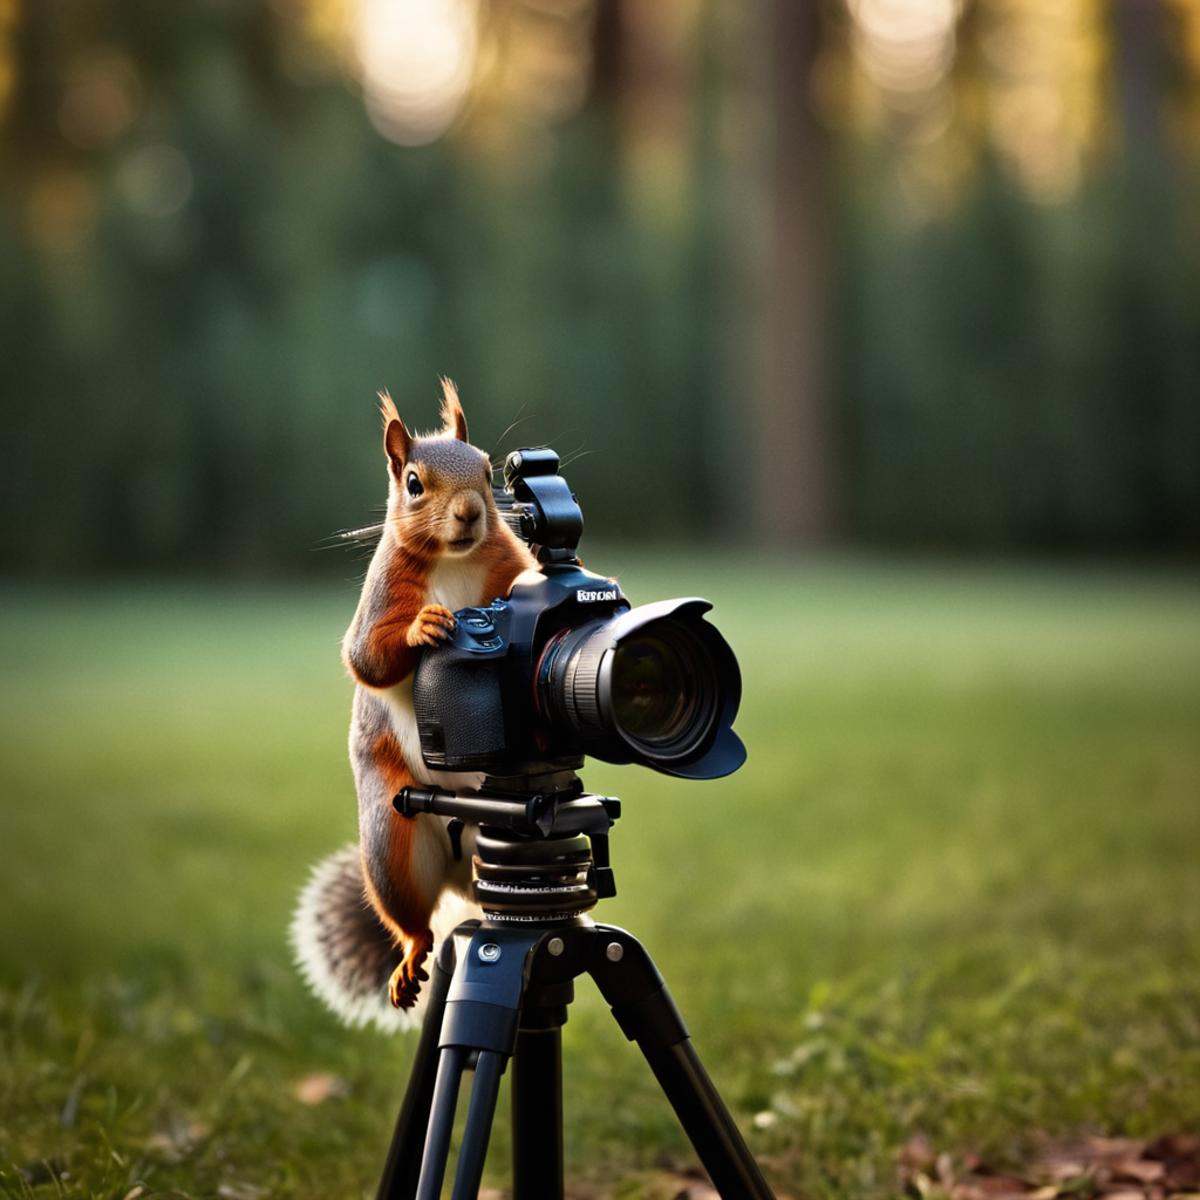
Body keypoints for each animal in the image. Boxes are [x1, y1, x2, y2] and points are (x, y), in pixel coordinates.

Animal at [291, 380, 536, 1030]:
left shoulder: (512, 566)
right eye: (414, 484)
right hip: (391, 840)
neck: (455, 561)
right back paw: (411, 956)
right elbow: (367, 657)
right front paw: (422, 628)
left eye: (485, 471)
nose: (471, 512)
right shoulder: (382, 594)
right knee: (414, 922)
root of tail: (457, 877)